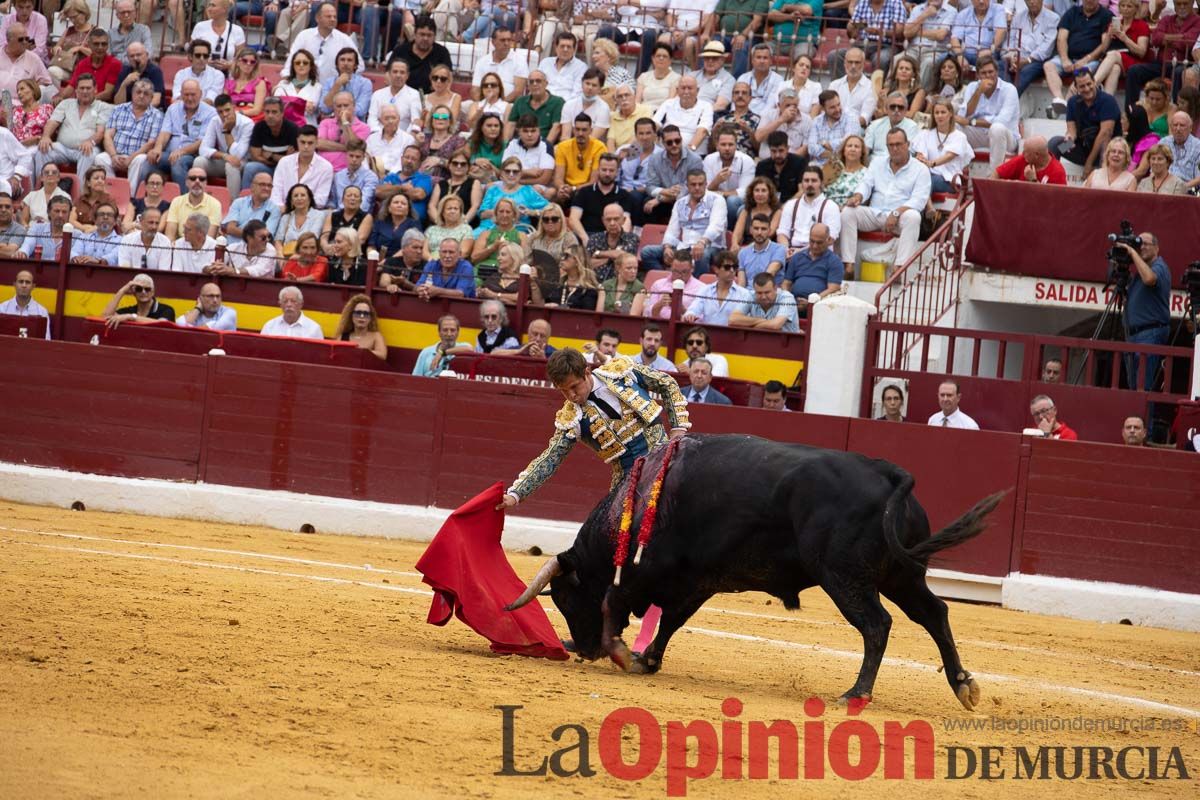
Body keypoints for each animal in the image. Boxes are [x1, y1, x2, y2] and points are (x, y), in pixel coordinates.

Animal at [506, 434, 1003, 710]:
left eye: (566, 599)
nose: (583, 649)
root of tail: (888, 472)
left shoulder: (650, 572)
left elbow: (616, 602)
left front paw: (624, 655)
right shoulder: (696, 581)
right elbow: (671, 622)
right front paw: (647, 659)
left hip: (844, 577)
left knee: (877, 624)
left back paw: (856, 693)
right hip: (902, 576)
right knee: (934, 613)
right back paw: (963, 685)